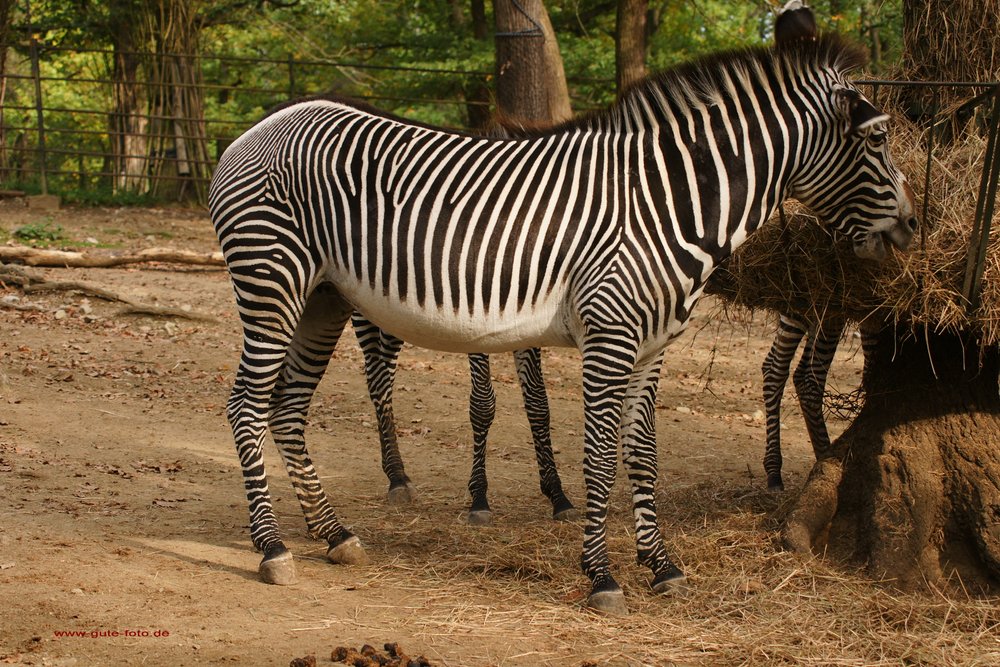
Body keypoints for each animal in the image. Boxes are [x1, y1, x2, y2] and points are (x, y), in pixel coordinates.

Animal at [350, 314, 577, 524]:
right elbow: (483, 403)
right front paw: (479, 498)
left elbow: (538, 401)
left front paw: (557, 495)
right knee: (378, 379)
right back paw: (397, 477)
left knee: (382, 374)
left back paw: (397, 475)